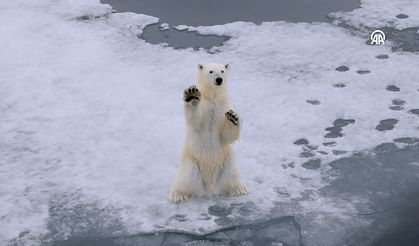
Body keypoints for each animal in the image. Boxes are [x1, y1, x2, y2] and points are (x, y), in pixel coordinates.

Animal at [169, 64, 248, 204]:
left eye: (222, 71)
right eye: (211, 71)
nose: (219, 79)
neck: (213, 98)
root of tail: (210, 189)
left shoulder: (223, 108)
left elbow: (226, 135)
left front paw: (233, 117)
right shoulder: (205, 108)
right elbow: (196, 121)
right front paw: (192, 96)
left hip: (226, 160)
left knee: (231, 168)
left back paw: (238, 188)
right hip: (192, 161)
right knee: (186, 177)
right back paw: (178, 194)